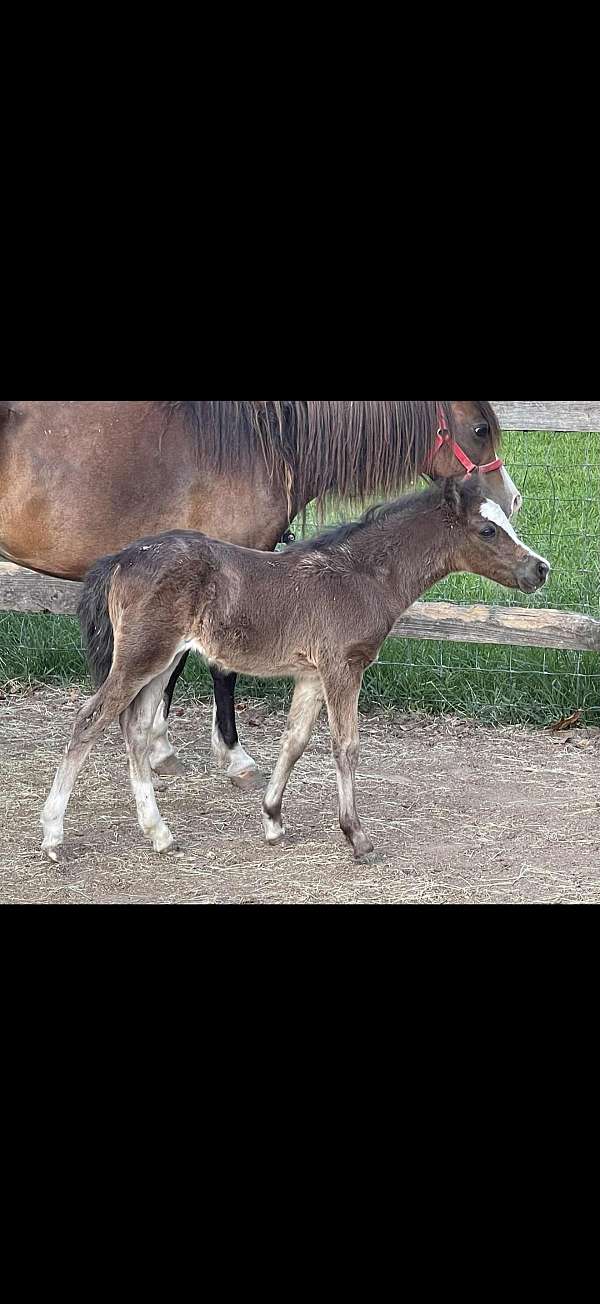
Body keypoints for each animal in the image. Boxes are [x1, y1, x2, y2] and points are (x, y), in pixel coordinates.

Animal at [1, 400, 521, 786]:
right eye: (479, 429)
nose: (511, 500)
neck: (258, 447)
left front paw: (160, 746)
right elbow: (217, 670)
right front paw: (230, 756)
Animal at [41, 477, 548, 865]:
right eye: (487, 529)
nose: (540, 569)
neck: (359, 576)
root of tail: (121, 558)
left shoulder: (311, 674)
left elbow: (295, 741)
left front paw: (272, 819)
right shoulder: (343, 667)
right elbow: (345, 747)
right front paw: (356, 836)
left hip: (161, 664)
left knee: (135, 729)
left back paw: (160, 833)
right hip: (141, 657)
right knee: (90, 720)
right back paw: (53, 834)